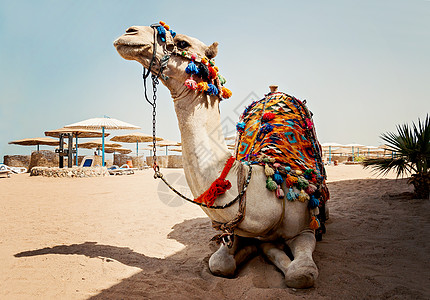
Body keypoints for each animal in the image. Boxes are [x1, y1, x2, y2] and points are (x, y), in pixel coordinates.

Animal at [114, 21, 326, 288]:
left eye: (182, 43)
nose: (130, 33)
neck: (262, 182)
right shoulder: (236, 231)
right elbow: (220, 264)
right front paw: (260, 249)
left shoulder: (305, 229)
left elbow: (301, 274)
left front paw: (278, 255)